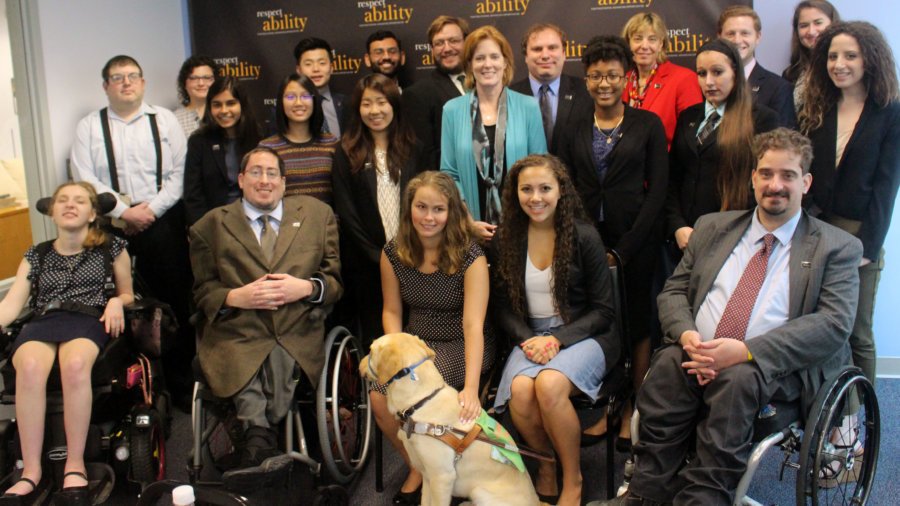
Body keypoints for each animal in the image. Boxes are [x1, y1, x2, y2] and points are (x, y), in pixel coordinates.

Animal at [360, 332, 540, 506]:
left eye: (370, 351)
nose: (359, 365)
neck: (422, 401)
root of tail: (538, 502)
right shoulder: (427, 476)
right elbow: (425, 502)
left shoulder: (441, 477)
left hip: (480, 492)